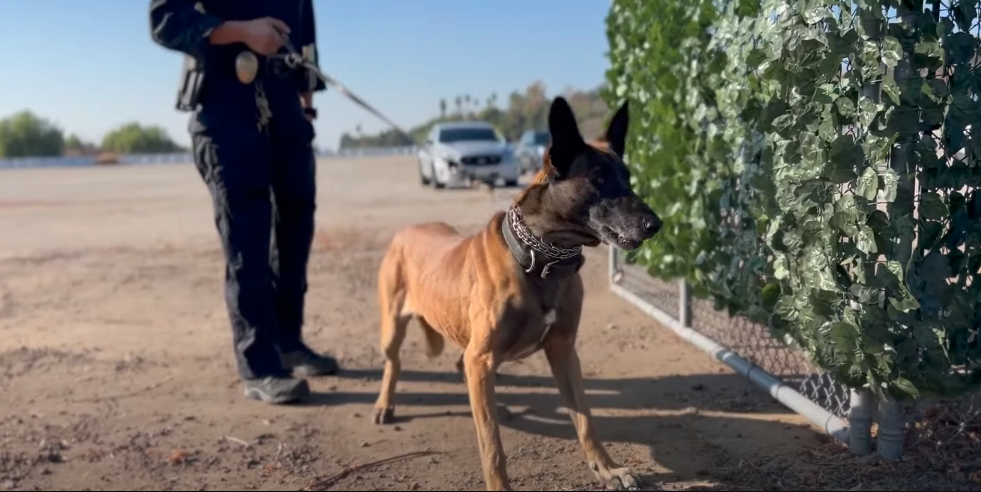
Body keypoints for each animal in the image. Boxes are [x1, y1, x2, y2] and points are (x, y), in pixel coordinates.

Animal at [372, 97, 664, 492]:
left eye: (628, 179)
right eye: (598, 180)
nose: (655, 224)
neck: (540, 258)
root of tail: (409, 229)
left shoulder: (563, 352)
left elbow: (585, 419)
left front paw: (607, 468)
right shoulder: (482, 358)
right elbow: (492, 445)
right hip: (394, 328)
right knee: (394, 363)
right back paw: (385, 404)